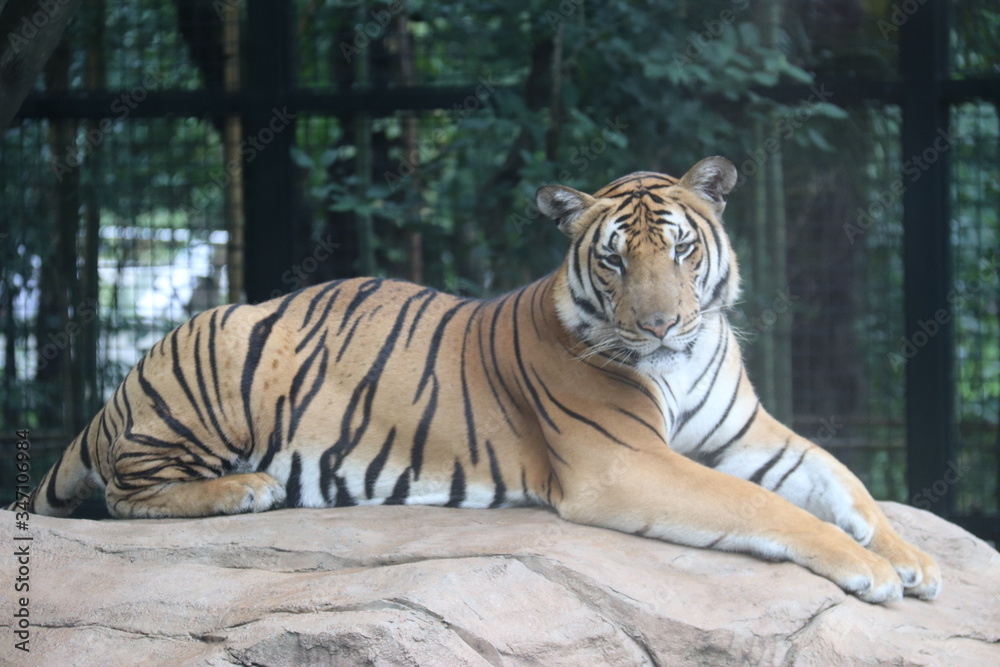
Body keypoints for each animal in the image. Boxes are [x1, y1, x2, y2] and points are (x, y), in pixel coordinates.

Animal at [8, 156, 940, 603]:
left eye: (680, 249)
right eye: (615, 259)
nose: (660, 325)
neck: (679, 360)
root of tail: (121, 387)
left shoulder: (751, 434)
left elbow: (843, 483)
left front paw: (914, 559)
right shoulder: (625, 462)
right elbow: (767, 508)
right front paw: (871, 572)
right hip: (218, 354)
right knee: (125, 492)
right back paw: (247, 488)